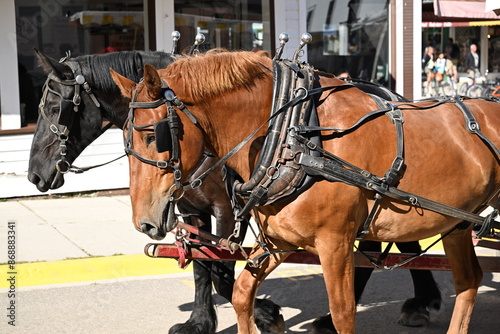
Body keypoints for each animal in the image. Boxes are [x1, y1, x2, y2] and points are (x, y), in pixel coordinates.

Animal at [28, 50, 442, 334]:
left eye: (55, 107)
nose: (33, 175)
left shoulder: (227, 209)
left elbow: (221, 270)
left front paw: (266, 314)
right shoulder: (191, 209)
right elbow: (200, 266)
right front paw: (200, 321)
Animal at [112, 51, 500, 332]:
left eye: (154, 136)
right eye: (124, 140)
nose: (144, 223)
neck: (295, 136)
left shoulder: (335, 242)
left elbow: (343, 313)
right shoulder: (282, 240)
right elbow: (241, 293)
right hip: (457, 224)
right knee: (469, 281)